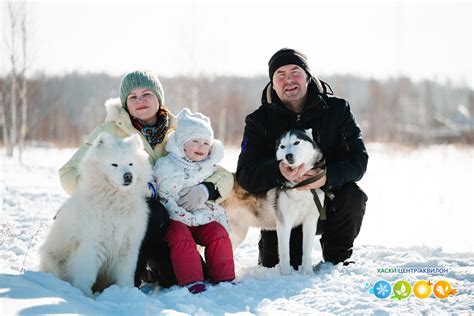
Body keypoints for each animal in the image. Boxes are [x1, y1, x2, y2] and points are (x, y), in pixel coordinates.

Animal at [40, 132, 153, 298]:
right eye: (114, 164)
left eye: (131, 164)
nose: (128, 176)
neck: (116, 202)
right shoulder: (92, 243)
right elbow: (86, 273)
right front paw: (85, 294)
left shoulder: (128, 245)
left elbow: (125, 274)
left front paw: (127, 292)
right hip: (54, 260)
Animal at [224, 130, 324, 276]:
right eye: (282, 146)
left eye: (296, 142)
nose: (288, 156)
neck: (300, 184)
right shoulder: (284, 223)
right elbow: (284, 254)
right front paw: (286, 275)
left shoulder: (310, 221)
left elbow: (306, 252)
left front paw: (308, 273)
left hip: (237, 233)